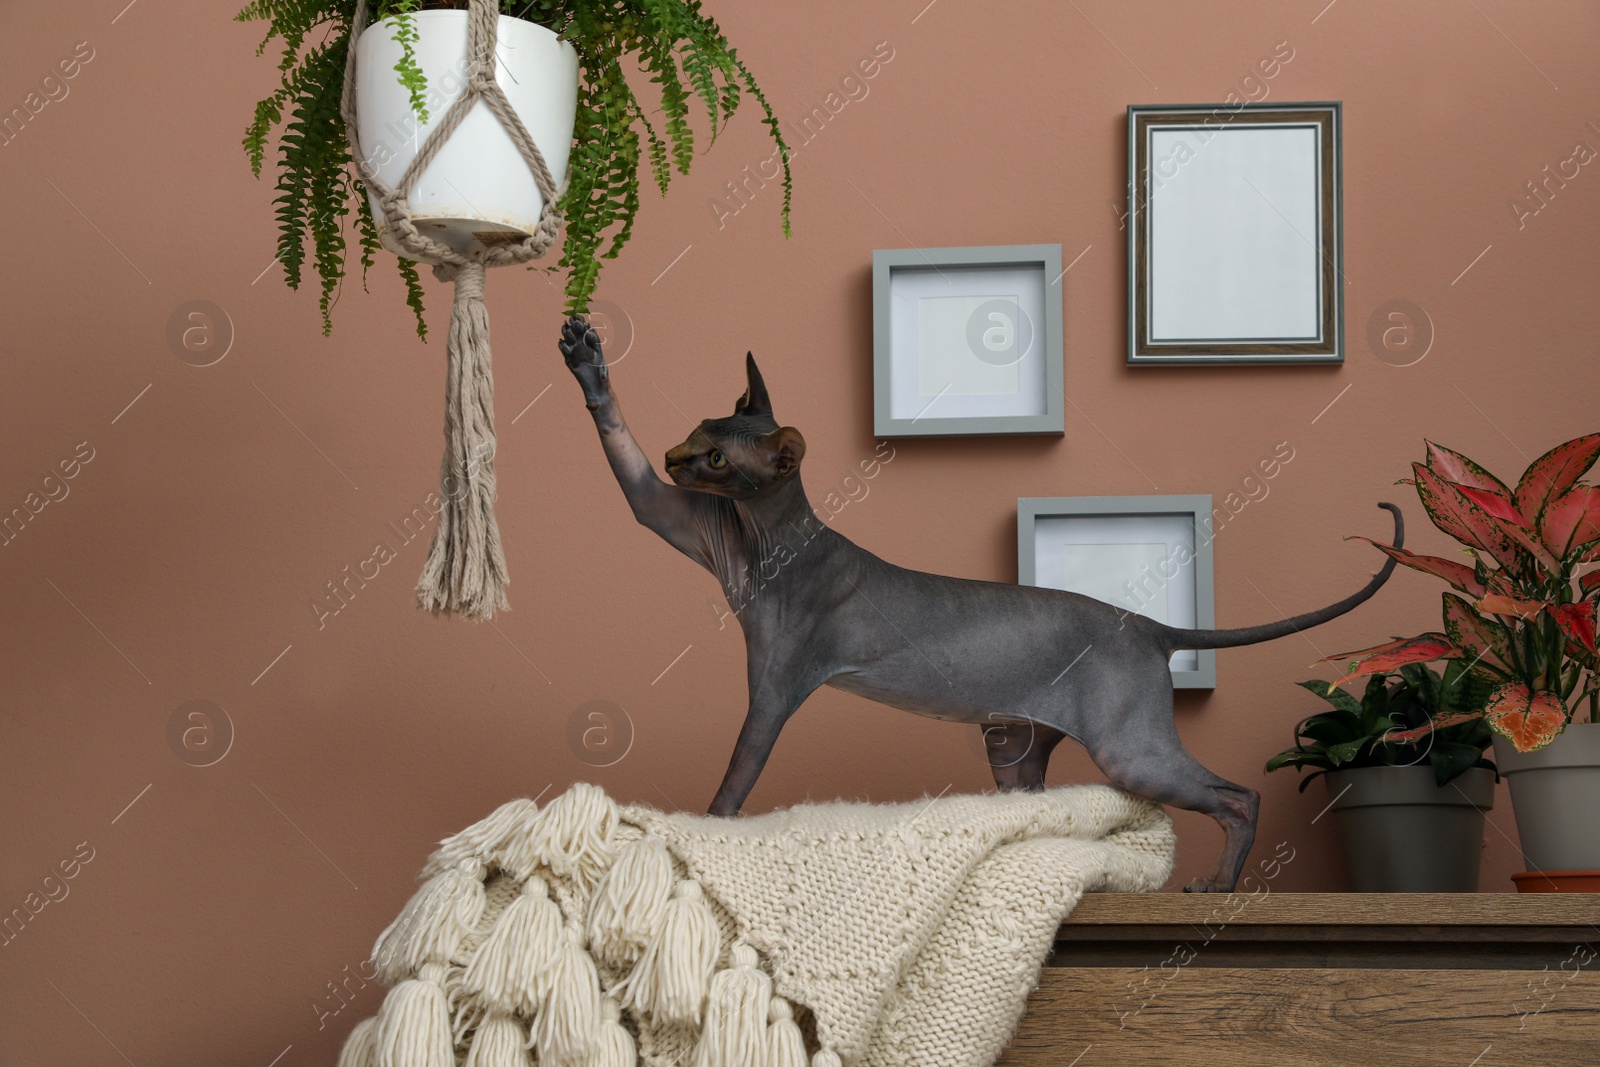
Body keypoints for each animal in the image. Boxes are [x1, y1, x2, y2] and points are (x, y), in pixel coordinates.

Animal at [560, 316, 1401, 895]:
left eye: (714, 457)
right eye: (696, 430)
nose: (675, 456)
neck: (769, 542)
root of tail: (1149, 624)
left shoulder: (774, 684)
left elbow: (734, 781)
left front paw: (702, 834)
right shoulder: (691, 529)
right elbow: (632, 476)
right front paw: (585, 360)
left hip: (1127, 747)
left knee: (1240, 793)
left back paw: (1220, 885)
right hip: (1014, 746)